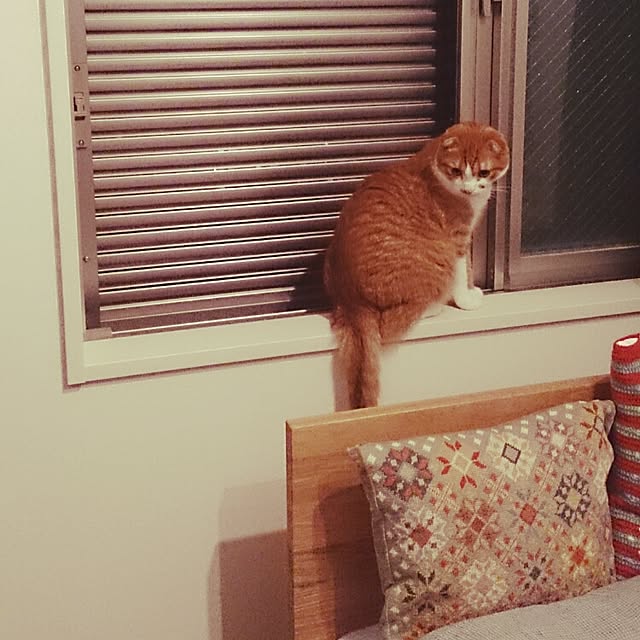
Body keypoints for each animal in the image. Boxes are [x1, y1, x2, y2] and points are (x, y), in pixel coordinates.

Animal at [323, 121, 510, 409]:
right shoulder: (456, 239)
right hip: (434, 268)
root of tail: (350, 298)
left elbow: (468, 269)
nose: (468, 189)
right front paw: (466, 299)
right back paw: (434, 307)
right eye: (456, 170)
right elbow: (461, 272)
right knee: (394, 321)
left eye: (484, 172)